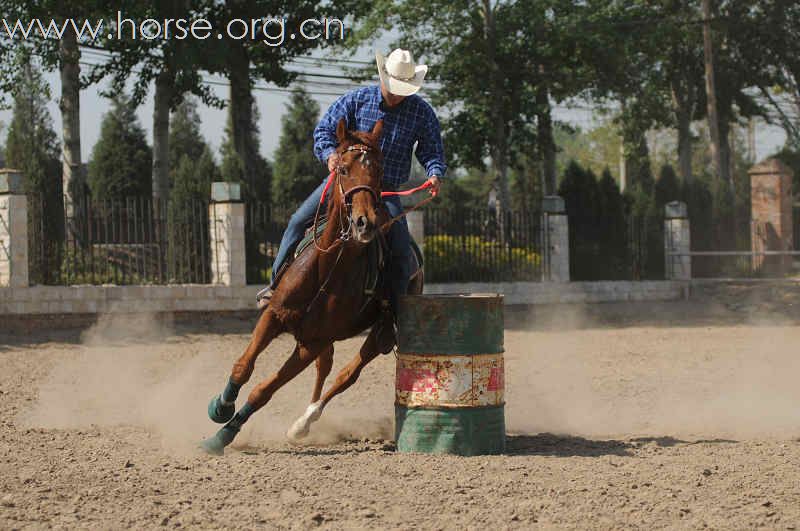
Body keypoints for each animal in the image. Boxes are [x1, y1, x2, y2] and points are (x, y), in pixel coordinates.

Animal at [202, 118, 424, 456]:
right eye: (342, 169)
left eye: (379, 172)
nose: (365, 222)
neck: (328, 268)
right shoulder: (275, 317)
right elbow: (243, 366)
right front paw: (220, 407)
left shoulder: (310, 344)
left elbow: (263, 391)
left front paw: (222, 436)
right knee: (326, 367)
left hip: (375, 333)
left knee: (348, 373)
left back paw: (304, 423)